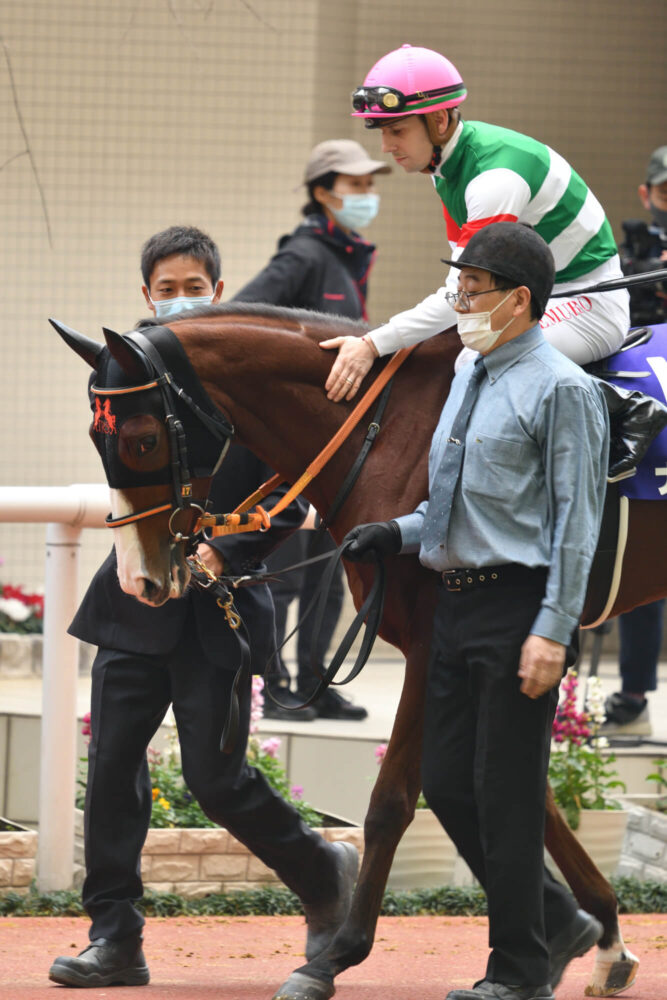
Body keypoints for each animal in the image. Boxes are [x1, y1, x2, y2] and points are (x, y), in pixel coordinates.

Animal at [54, 306, 660, 1000]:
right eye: (96, 438)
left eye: (143, 440)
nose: (140, 580)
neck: (391, 436)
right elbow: (529, 795)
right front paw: (594, 933)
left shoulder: (434, 640)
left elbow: (395, 802)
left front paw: (335, 956)